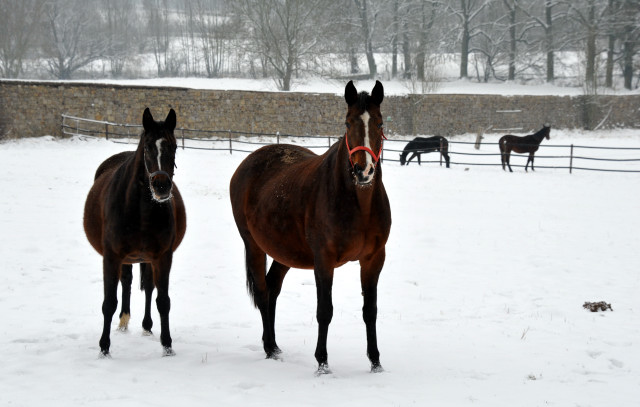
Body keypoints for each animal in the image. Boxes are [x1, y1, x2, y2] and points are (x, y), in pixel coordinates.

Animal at [82, 107, 185, 356]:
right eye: (147, 147)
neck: (139, 209)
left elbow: (163, 301)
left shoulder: (162, 257)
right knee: (127, 282)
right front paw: (104, 348)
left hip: (145, 258)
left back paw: (146, 326)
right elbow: (109, 302)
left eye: (174, 146)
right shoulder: (111, 257)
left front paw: (167, 346)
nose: (161, 186)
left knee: (147, 286)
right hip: (126, 258)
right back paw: (123, 321)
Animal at [230, 80, 390, 376]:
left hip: (285, 252)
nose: (363, 171)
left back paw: (275, 347)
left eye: (380, 122)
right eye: (348, 122)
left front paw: (375, 363)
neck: (359, 205)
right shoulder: (323, 260)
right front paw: (322, 363)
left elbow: (370, 311)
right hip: (254, 246)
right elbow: (324, 311)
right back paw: (268, 347)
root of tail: (247, 163)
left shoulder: (373, 259)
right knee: (262, 291)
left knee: (272, 288)